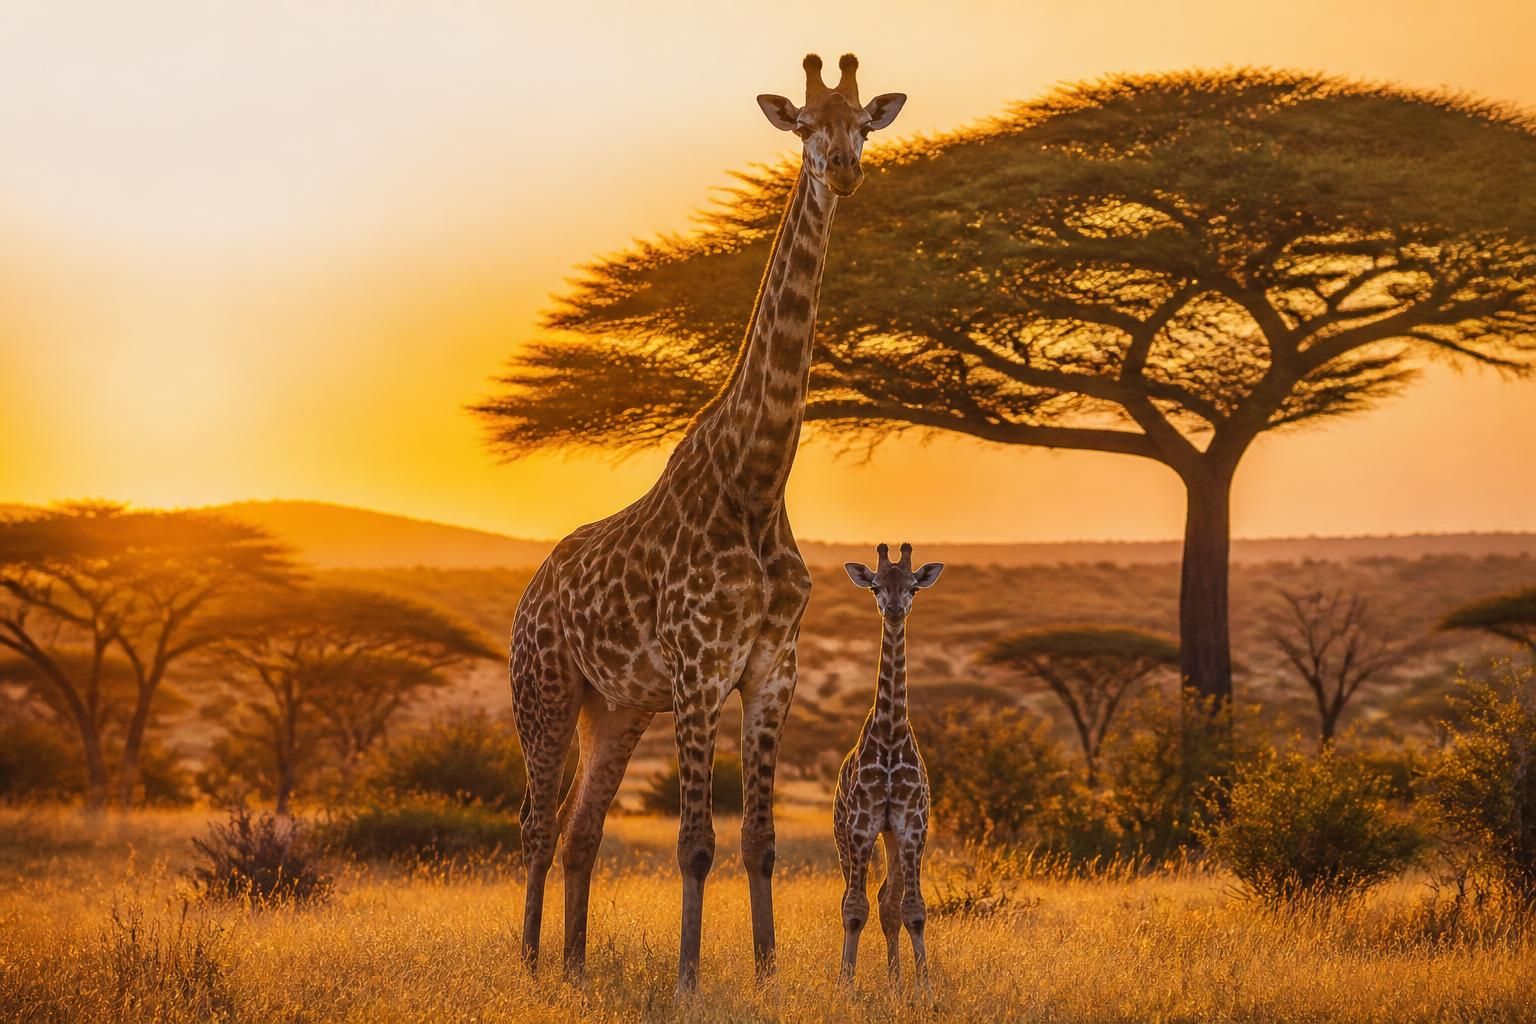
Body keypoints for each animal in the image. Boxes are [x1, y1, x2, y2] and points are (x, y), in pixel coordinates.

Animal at [509, 53, 906, 991]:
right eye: (805, 125)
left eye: (864, 125)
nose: (844, 169)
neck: (755, 481)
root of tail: (528, 596)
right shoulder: (697, 669)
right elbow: (695, 844)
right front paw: (690, 978)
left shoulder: (771, 669)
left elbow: (759, 842)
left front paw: (766, 974)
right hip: (546, 692)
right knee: (536, 826)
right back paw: (532, 964)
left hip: (616, 708)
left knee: (581, 831)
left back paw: (576, 968)